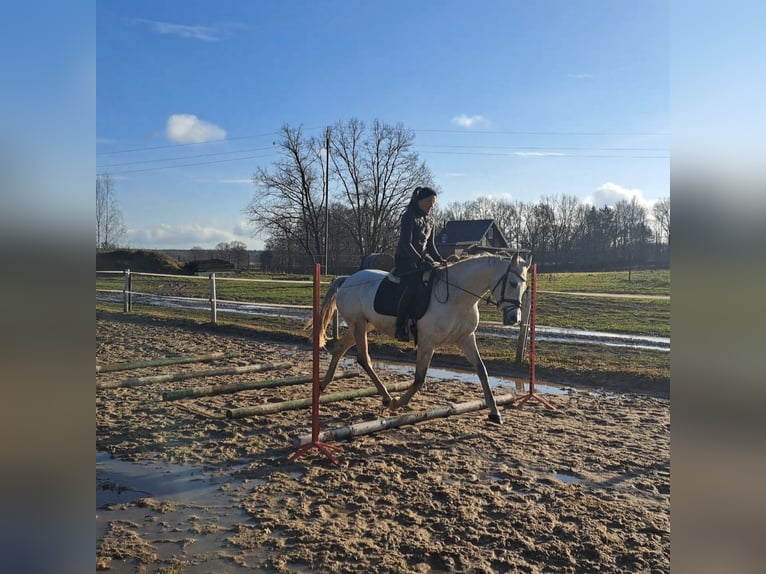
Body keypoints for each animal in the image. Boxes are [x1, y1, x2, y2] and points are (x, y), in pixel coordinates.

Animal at [314, 252, 531, 424]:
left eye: (524, 288)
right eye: (513, 283)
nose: (514, 319)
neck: (458, 297)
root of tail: (349, 279)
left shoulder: (466, 338)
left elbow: (482, 371)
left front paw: (495, 413)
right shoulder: (428, 342)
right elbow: (419, 379)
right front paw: (397, 404)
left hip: (362, 325)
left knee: (340, 349)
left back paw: (322, 385)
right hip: (358, 325)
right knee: (363, 358)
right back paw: (387, 398)